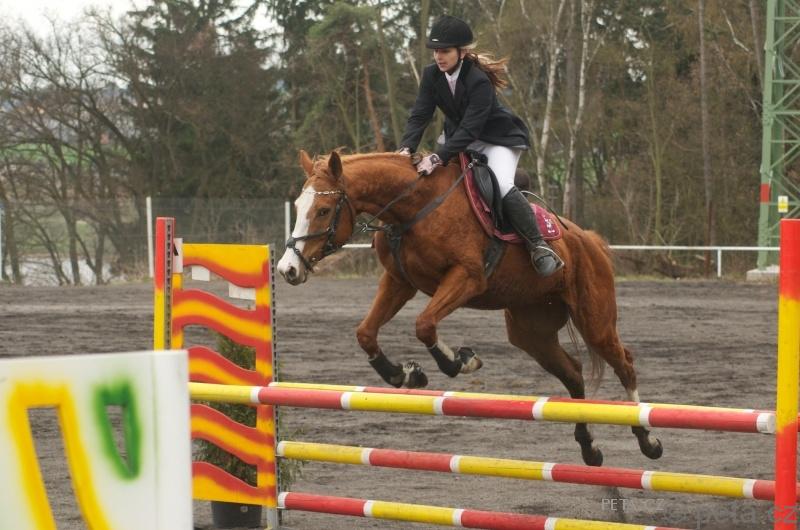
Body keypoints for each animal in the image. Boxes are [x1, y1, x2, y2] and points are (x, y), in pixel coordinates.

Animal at [276, 149, 662, 467]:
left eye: (324, 210)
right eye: (298, 208)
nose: (287, 270)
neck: (413, 207)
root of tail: (588, 239)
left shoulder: (467, 278)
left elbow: (424, 324)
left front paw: (460, 361)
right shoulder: (399, 281)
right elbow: (366, 333)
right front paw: (403, 375)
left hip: (594, 320)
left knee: (625, 364)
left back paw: (648, 440)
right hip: (531, 332)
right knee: (573, 373)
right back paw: (588, 447)